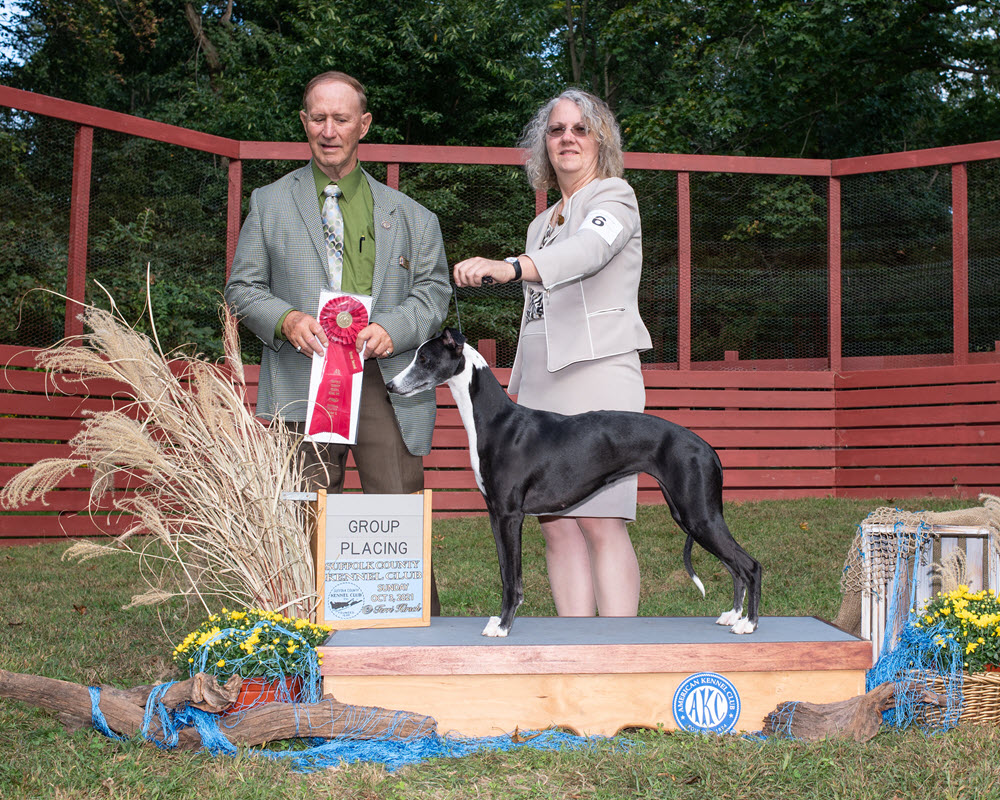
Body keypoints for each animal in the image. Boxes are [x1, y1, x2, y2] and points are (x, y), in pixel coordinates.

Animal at [386, 326, 760, 636]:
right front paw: (500, 620)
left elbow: (513, 580)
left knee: (750, 565)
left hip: (699, 514)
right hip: (690, 514)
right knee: (734, 566)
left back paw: (749, 623)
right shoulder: (495, 514)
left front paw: (504, 626)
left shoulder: (510, 515)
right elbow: (506, 572)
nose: (390, 386)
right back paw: (733, 615)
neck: (494, 421)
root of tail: (707, 447)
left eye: (424, 358)